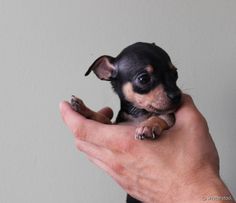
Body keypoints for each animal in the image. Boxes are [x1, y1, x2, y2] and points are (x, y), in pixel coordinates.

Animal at [71, 42, 182, 202]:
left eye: (175, 74)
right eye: (144, 79)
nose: (177, 96)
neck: (139, 114)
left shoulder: (169, 118)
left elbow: (160, 117)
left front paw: (148, 125)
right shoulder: (115, 126)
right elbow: (102, 119)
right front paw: (84, 109)